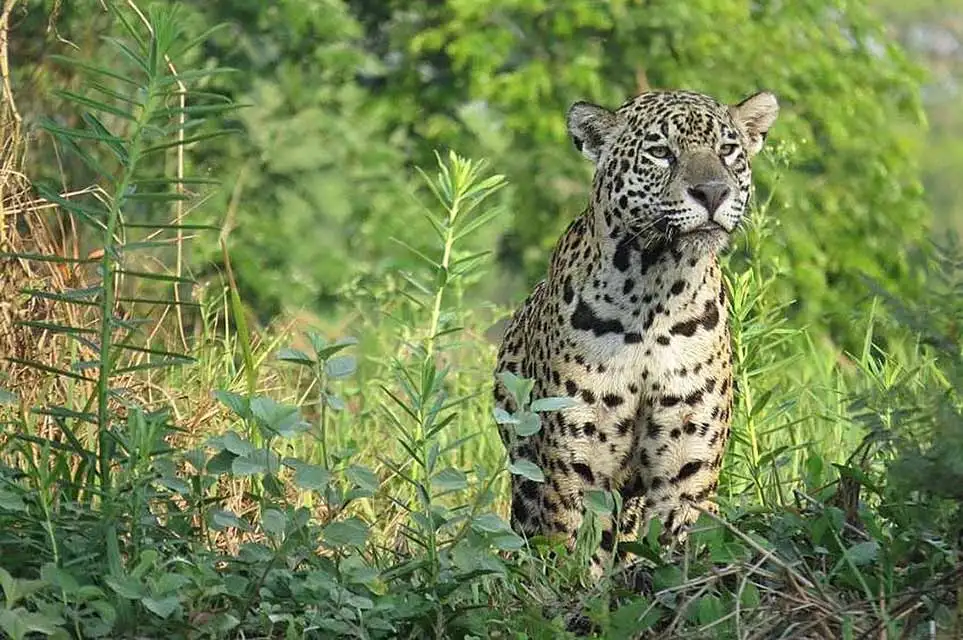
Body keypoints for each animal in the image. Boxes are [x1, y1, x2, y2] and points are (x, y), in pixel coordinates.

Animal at [493, 87, 779, 583]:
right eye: (661, 152)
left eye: (727, 150)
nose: (712, 192)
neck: (655, 291)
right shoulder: (576, 462)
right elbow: (575, 548)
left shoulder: (685, 466)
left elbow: (671, 551)